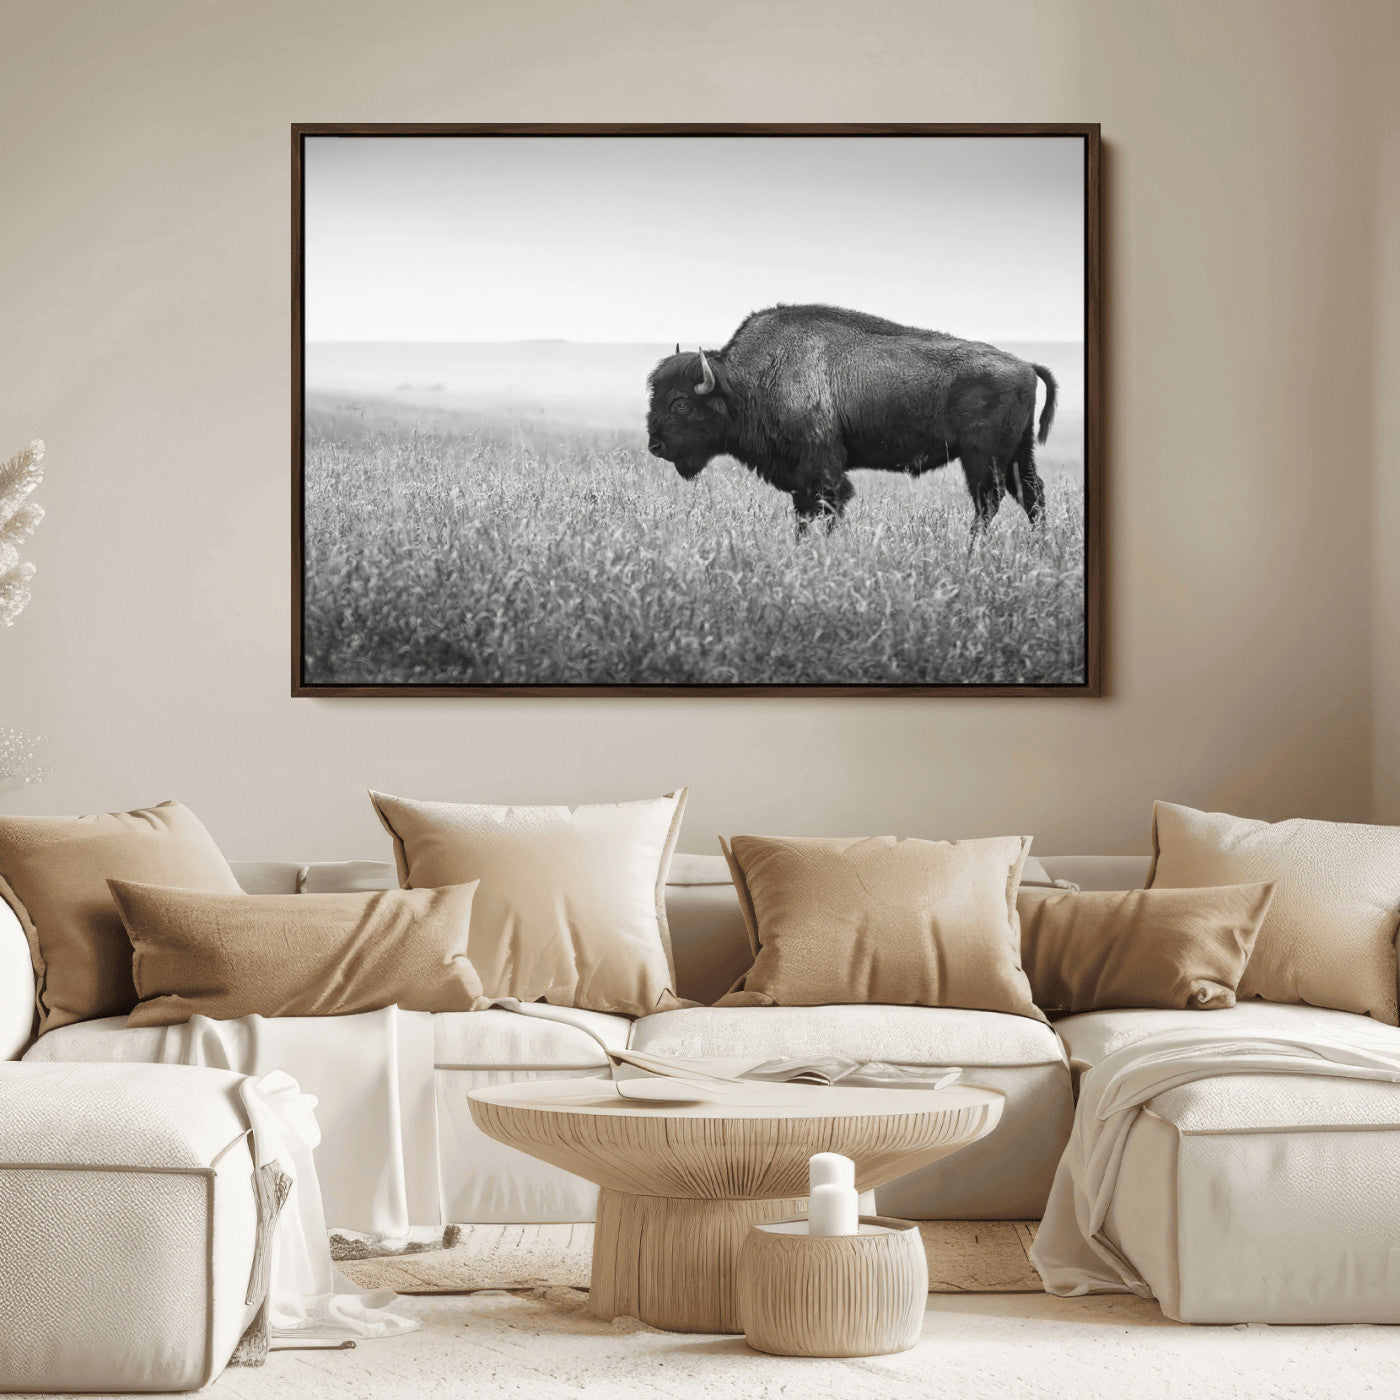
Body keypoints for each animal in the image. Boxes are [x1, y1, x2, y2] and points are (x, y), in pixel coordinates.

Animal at [646, 304, 1057, 533]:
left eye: (680, 403)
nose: (655, 445)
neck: (746, 381)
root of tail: (1025, 365)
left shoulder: (823, 469)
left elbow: (828, 506)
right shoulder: (800, 477)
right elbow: (804, 514)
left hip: (982, 458)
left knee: (989, 501)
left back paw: (972, 550)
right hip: (1018, 454)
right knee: (1031, 495)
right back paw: (1038, 548)